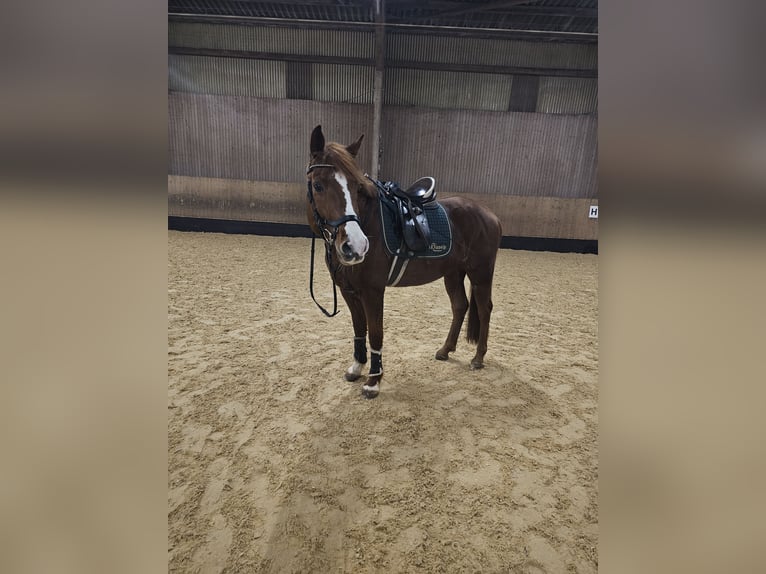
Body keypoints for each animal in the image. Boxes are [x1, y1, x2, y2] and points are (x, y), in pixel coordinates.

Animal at [306, 125, 504, 400]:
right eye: (318, 185)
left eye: (357, 187)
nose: (356, 246)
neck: (369, 221)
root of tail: (490, 215)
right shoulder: (348, 291)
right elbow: (359, 329)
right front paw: (356, 367)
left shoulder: (373, 291)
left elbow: (375, 332)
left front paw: (373, 381)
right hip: (453, 273)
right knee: (460, 306)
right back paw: (445, 350)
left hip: (481, 273)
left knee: (484, 309)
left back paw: (478, 358)